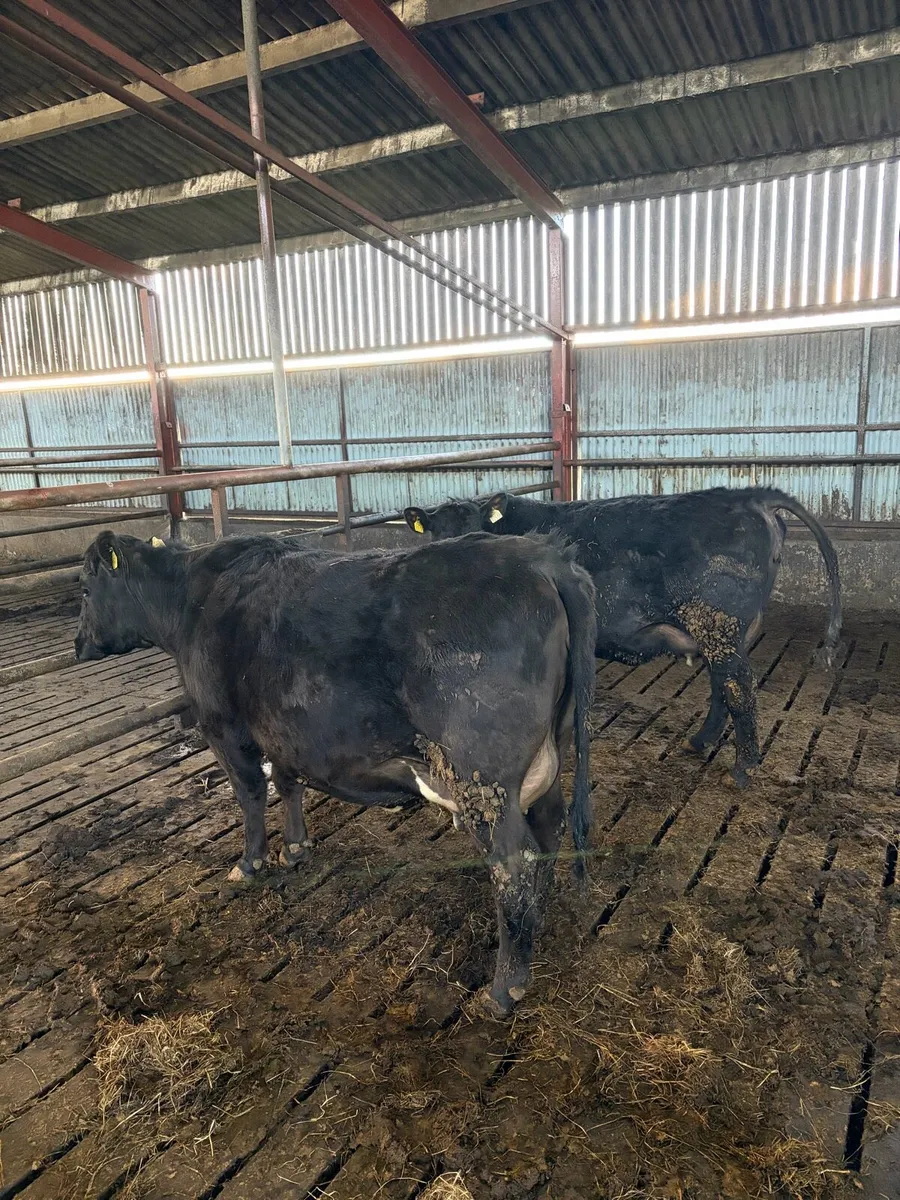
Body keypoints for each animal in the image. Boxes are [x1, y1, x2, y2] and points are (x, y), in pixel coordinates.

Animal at [74, 530, 597, 1016]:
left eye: (84, 585)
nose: (78, 645)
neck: (190, 599)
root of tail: (542, 559)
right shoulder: (283, 731)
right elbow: (287, 784)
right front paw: (295, 848)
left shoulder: (223, 727)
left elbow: (250, 792)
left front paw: (250, 862)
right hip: (544, 761)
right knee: (548, 832)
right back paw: (536, 923)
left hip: (483, 778)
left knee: (514, 863)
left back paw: (504, 988)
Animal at [404, 487, 842, 788]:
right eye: (434, 533)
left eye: (473, 530)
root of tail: (749, 495)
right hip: (721, 632)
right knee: (723, 684)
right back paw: (701, 741)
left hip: (719, 624)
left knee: (738, 689)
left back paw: (743, 767)